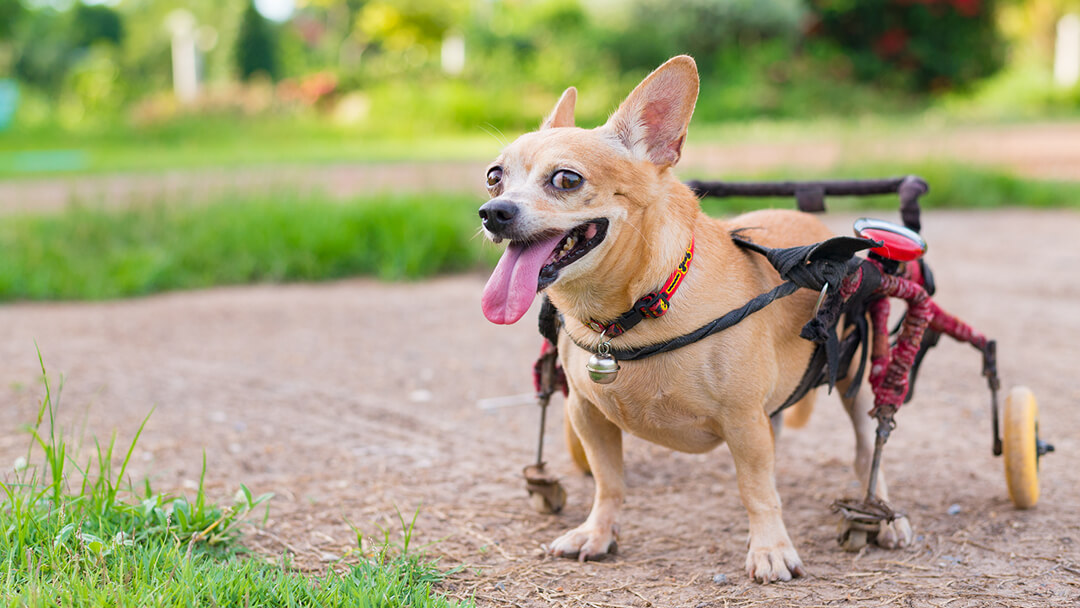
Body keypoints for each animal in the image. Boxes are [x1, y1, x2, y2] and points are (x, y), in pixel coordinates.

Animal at [477, 57, 907, 583]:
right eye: (494, 176)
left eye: (566, 180)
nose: (493, 211)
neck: (634, 311)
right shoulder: (587, 415)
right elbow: (608, 482)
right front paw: (598, 533)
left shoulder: (743, 421)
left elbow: (756, 490)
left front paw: (770, 548)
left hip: (854, 382)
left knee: (868, 451)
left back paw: (883, 515)